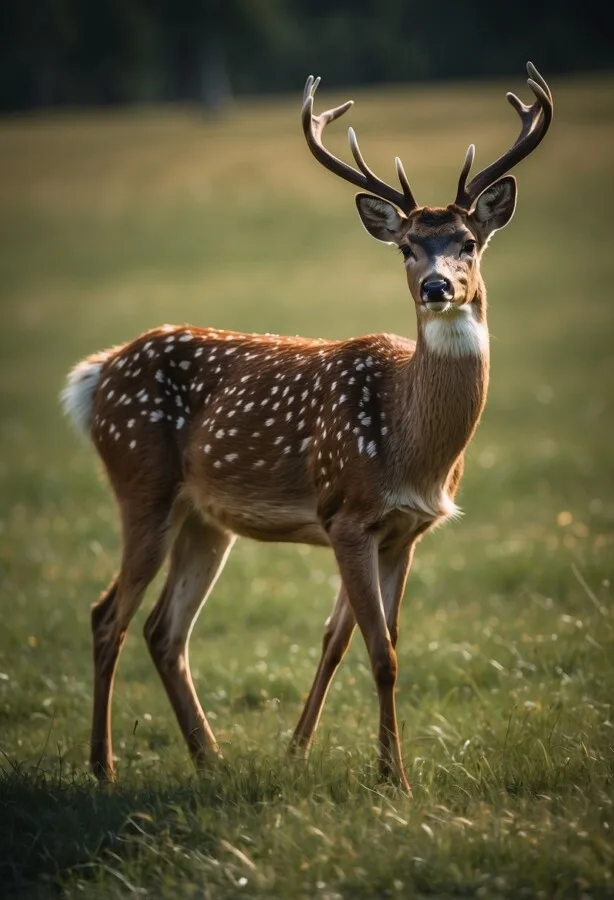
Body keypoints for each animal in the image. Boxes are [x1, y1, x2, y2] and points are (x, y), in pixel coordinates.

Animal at [61, 63, 552, 792]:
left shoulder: (405, 532)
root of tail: (96, 374)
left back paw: (211, 757)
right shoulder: (347, 511)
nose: (437, 286)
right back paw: (103, 766)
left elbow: (355, 639)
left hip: (204, 518)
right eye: (407, 247)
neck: (413, 445)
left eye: (468, 242)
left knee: (162, 628)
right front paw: (394, 779)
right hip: (139, 481)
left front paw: (311, 753)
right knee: (106, 617)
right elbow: (379, 653)